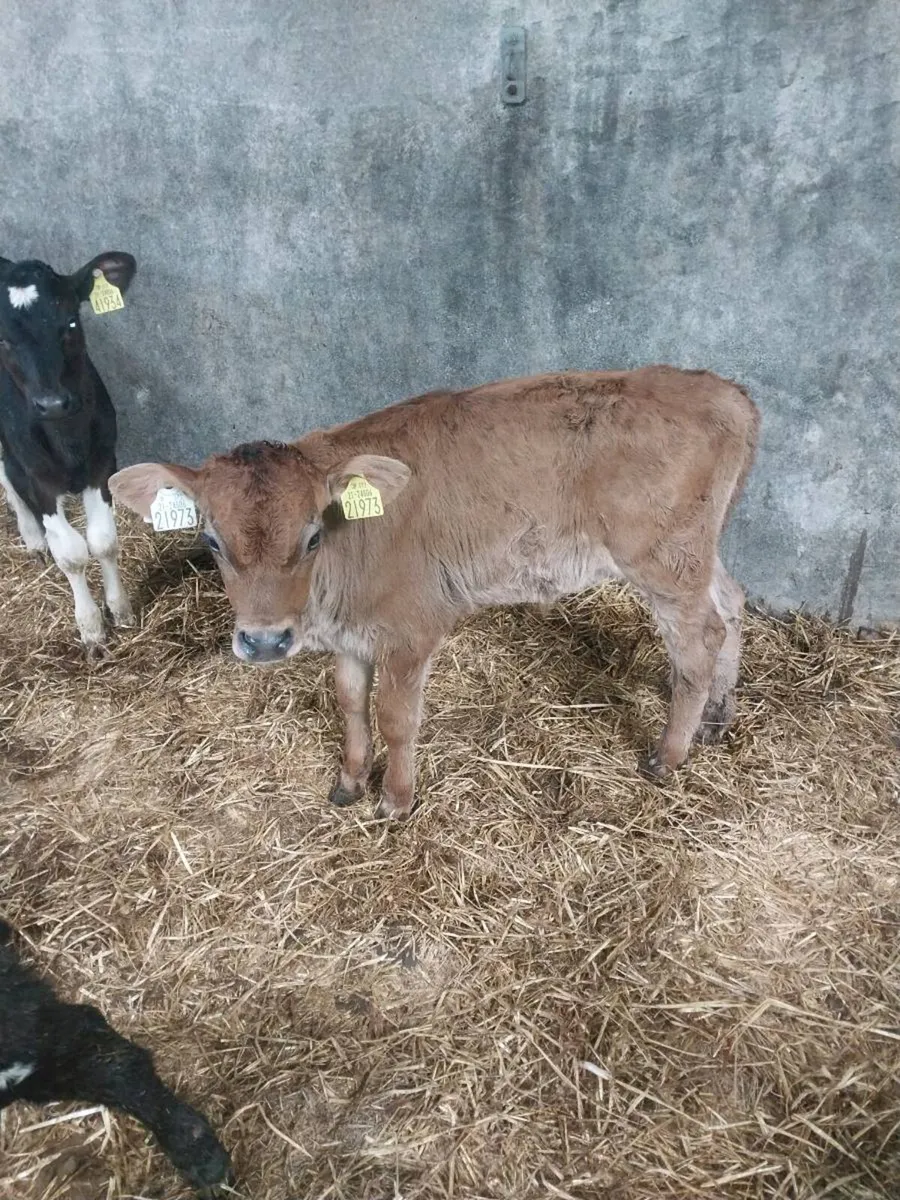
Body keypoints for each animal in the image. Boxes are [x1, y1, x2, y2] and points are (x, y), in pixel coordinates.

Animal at [0, 252, 137, 653]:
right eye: (3, 339)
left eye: (71, 322)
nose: (52, 403)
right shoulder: (39, 479)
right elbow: (72, 554)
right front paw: (90, 628)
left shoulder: (103, 462)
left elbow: (103, 540)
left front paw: (119, 610)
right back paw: (32, 536)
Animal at [109, 367, 760, 819]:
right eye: (211, 540)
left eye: (313, 535)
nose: (265, 642)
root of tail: (723, 391)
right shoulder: (351, 636)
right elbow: (350, 702)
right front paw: (350, 781)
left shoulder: (412, 628)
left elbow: (397, 718)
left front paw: (397, 799)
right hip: (699, 552)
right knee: (732, 603)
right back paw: (717, 717)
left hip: (663, 561)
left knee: (699, 640)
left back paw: (668, 755)